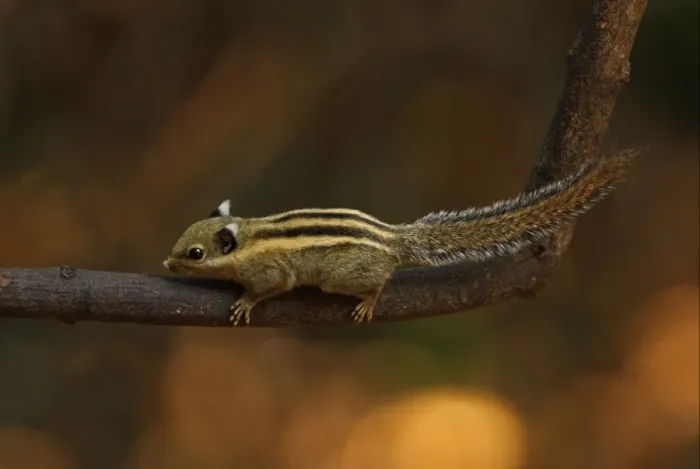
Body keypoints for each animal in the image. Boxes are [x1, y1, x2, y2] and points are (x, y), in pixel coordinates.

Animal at [163, 152, 633, 326]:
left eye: (195, 253)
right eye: (182, 239)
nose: (168, 263)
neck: (248, 236)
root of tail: (393, 240)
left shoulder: (271, 272)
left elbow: (269, 288)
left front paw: (245, 302)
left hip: (341, 276)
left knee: (379, 279)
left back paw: (370, 300)